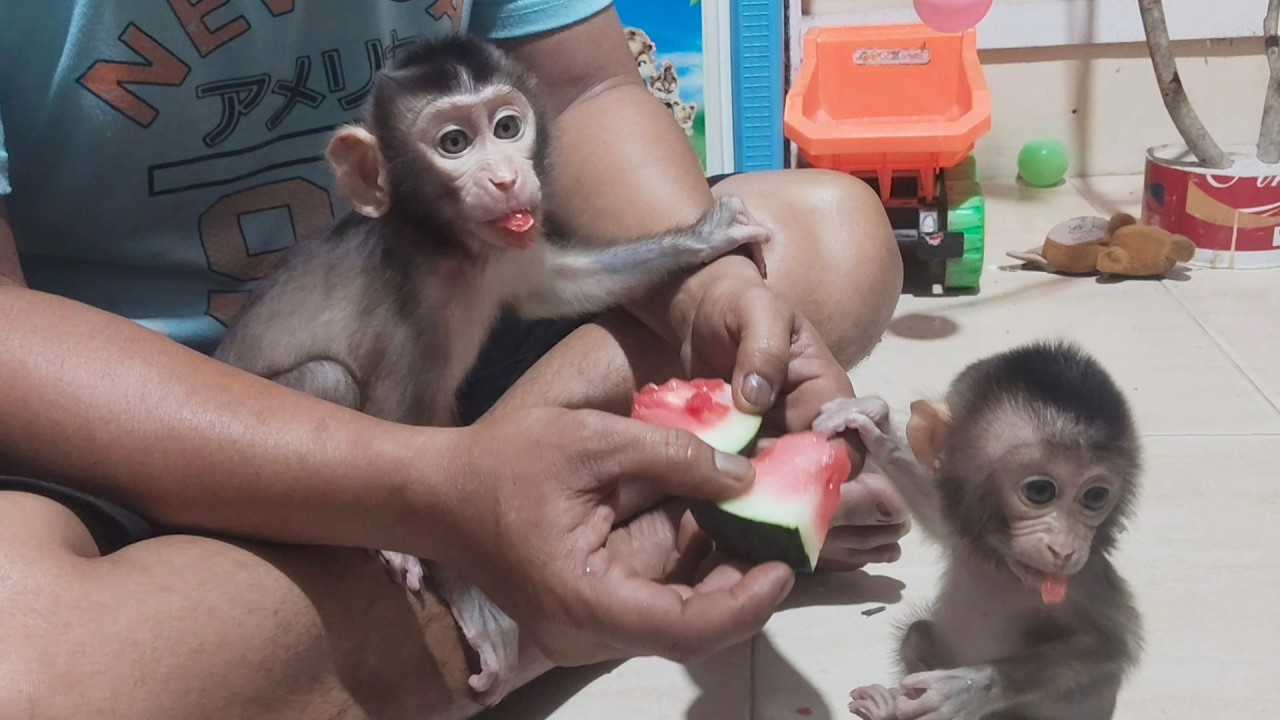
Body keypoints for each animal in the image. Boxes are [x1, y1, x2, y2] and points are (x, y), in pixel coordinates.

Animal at [811, 340, 1143, 720]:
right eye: (1040, 491)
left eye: (1095, 497)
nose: (1063, 549)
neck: (1001, 567)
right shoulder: (961, 531)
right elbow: (934, 509)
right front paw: (873, 423)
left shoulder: (1084, 580)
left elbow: (1107, 649)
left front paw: (966, 687)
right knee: (916, 634)